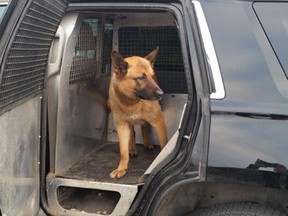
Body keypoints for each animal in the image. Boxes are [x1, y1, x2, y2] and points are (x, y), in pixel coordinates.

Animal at [109, 47, 168, 179]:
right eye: (141, 78)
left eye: (152, 76)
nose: (161, 94)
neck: (132, 103)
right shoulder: (122, 126)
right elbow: (123, 151)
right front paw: (121, 168)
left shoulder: (158, 121)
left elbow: (164, 144)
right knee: (133, 132)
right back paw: (132, 148)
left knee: (144, 126)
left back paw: (147, 143)